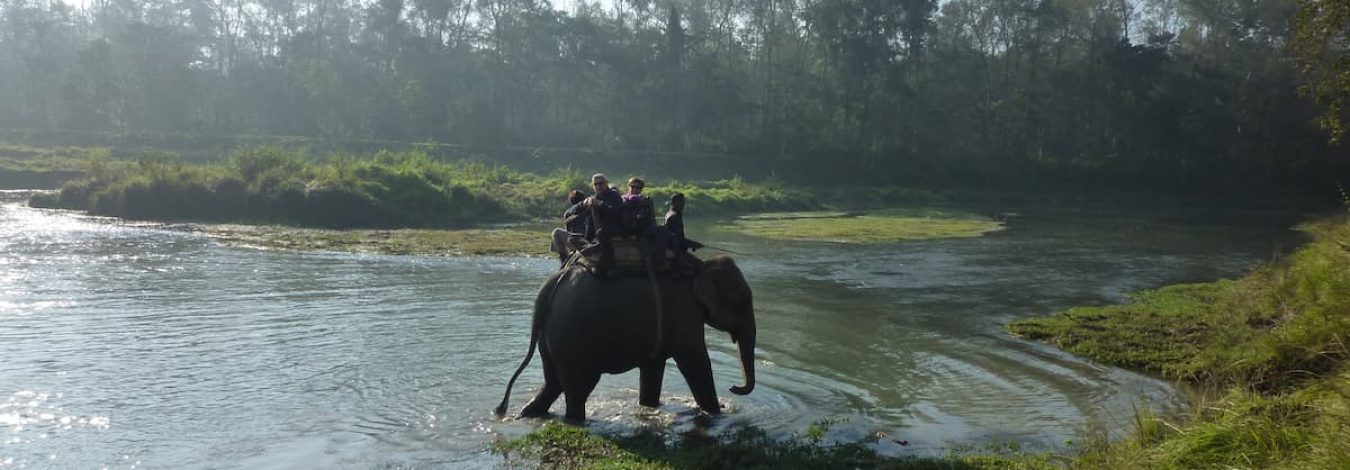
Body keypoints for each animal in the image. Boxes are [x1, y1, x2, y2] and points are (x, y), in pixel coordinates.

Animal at [495, 255, 757, 422]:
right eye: (741, 301)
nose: (734, 387)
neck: (701, 266)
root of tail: (553, 283)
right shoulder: (685, 312)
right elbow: (695, 361)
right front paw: (718, 414)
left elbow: (653, 368)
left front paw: (650, 407)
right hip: (574, 340)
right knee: (577, 389)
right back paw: (576, 421)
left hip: (549, 338)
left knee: (552, 384)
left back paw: (522, 415)